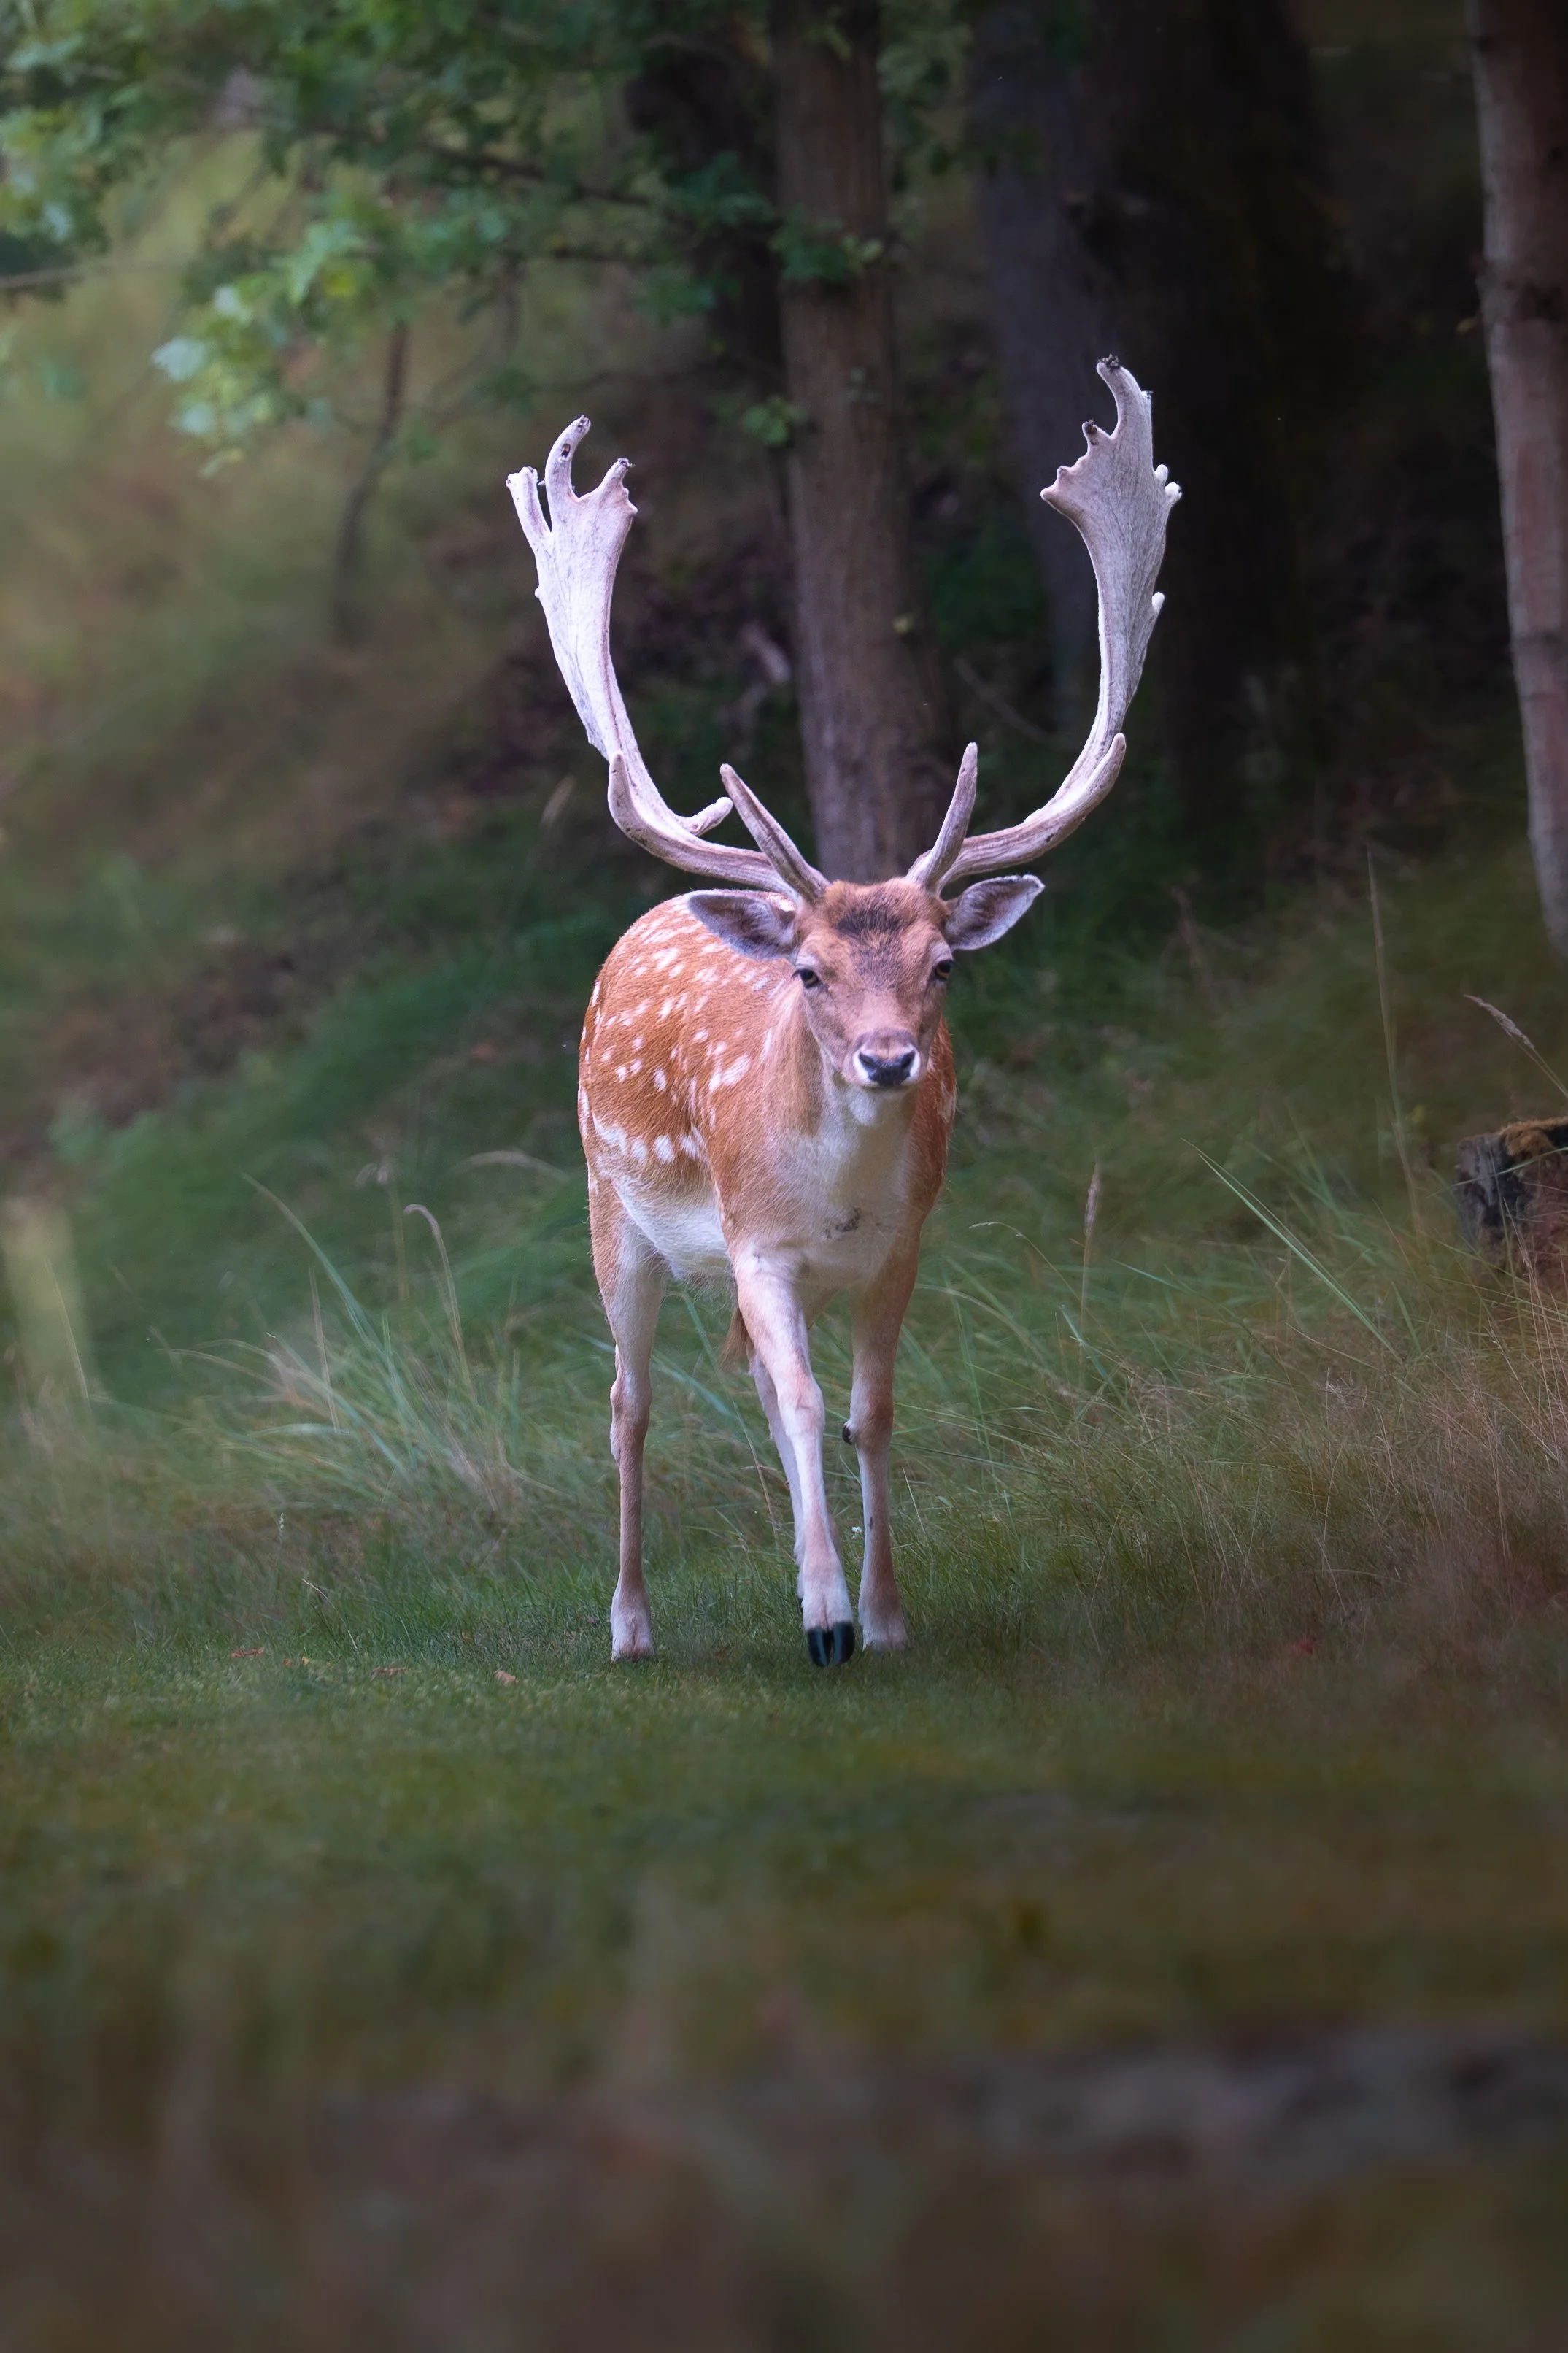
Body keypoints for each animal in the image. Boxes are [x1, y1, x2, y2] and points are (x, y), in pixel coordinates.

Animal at [507, 358, 1178, 1667]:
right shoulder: (755, 1243)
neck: (835, 1198)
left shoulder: (897, 1248)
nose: (885, 1059)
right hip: (613, 1207)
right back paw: (630, 1623)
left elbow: (865, 1409)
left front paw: (884, 1613)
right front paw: (822, 1619)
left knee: (764, 1396)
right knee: (629, 1402)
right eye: (810, 972)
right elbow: (807, 1402)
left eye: (943, 964)